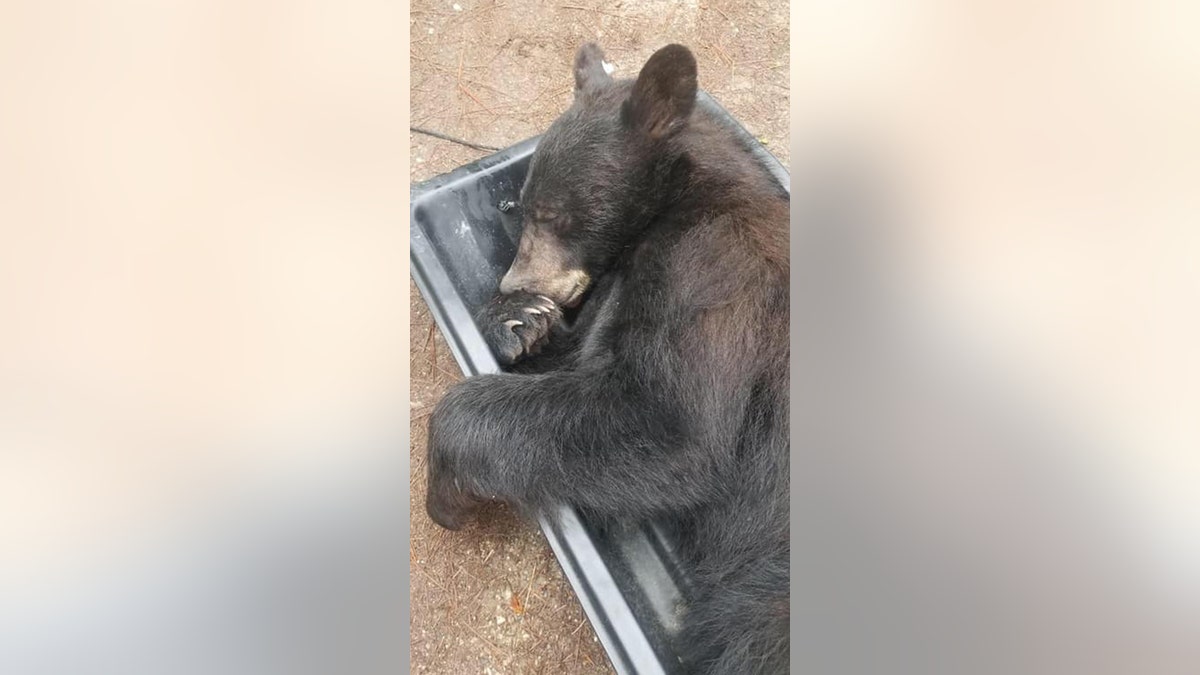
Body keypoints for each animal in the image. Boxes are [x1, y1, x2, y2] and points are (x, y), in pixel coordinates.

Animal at [427, 43, 792, 672]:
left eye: (552, 213)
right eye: (521, 206)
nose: (514, 280)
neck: (676, 201)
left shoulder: (713, 271)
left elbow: (668, 425)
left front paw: (445, 490)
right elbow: (581, 350)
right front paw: (518, 322)